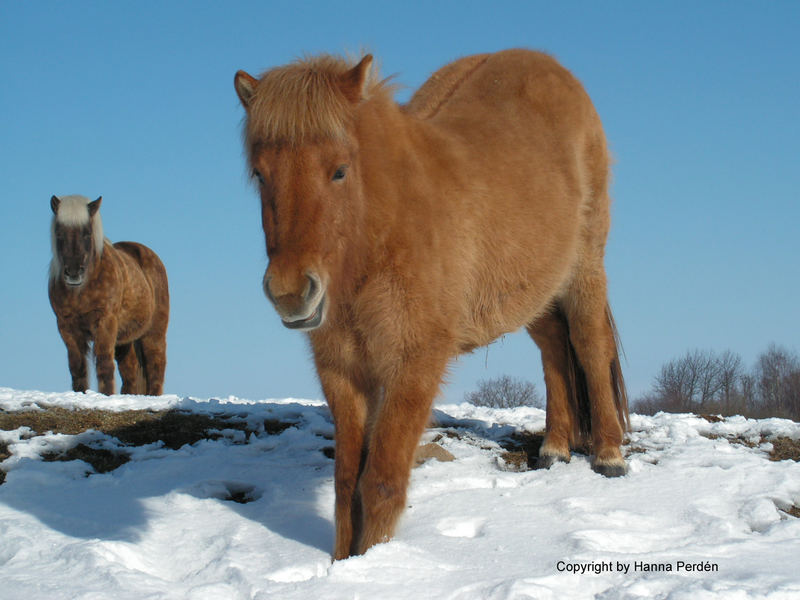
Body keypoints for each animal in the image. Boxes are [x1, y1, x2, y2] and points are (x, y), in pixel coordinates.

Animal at [47, 195, 170, 396]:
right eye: (59, 233)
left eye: (87, 233)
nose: (73, 273)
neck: (81, 291)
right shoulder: (66, 327)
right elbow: (77, 367)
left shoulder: (105, 322)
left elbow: (104, 364)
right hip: (125, 340)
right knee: (130, 373)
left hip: (154, 333)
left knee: (156, 367)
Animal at [234, 49, 628, 560]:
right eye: (260, 174)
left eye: (339, 169)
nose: (290, 293)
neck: (386, 229)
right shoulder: (343, 372)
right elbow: (346, 485)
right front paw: (344, 561)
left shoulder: (413, 364)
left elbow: (381, 482)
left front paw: (375, 562)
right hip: (534, 294)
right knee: (554, 351)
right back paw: (556, 447)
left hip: (584, 269)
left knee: (590, 345)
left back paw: (609, 455)